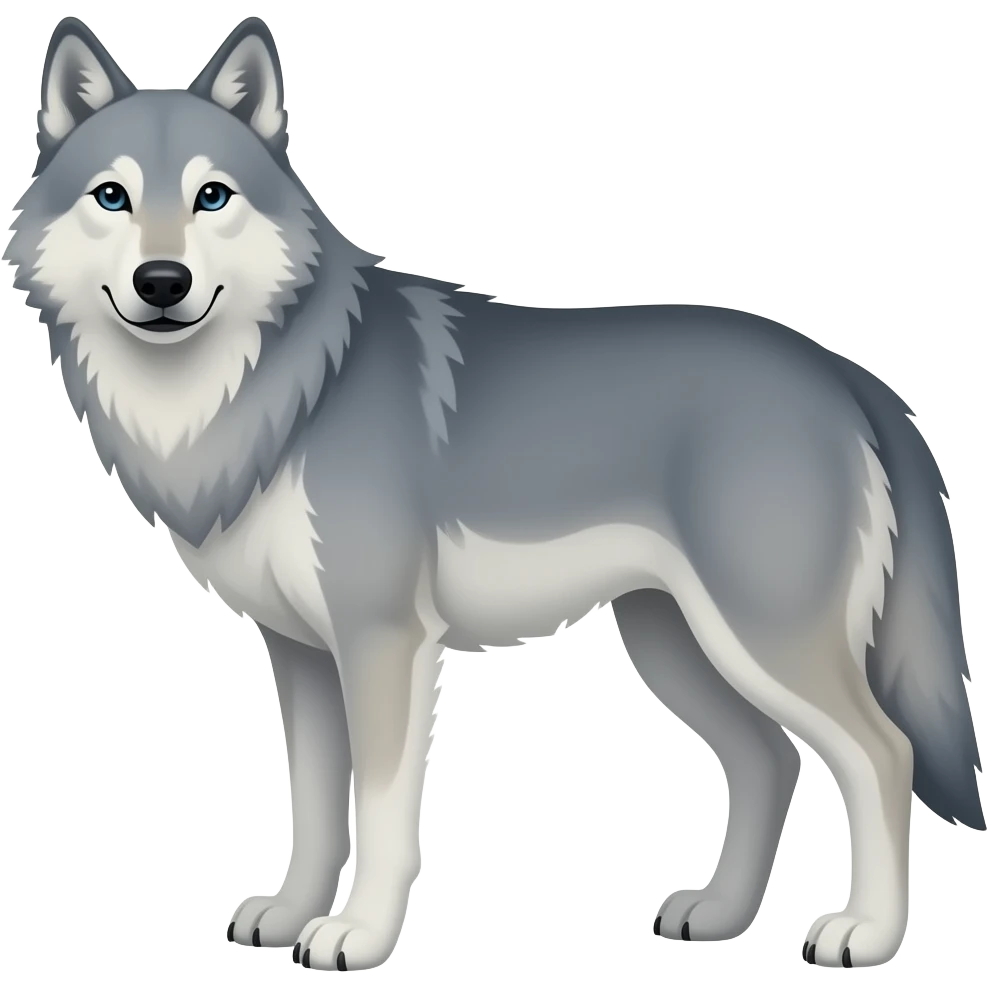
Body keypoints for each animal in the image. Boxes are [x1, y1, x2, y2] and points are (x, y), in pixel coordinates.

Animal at [5, 13, 982, 973]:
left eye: (212, 197)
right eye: (111, 198)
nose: (161, 282)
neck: (280, 388)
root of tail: (845, 373)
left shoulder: (384, 645)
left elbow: (383, 813)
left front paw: (358, 937)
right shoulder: (302, 657)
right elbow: (313, 809)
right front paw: (287, 916)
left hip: (759, 641)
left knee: (881, 755)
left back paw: (866, 933)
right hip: (676, 645)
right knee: (770, 761)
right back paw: (719, 915)